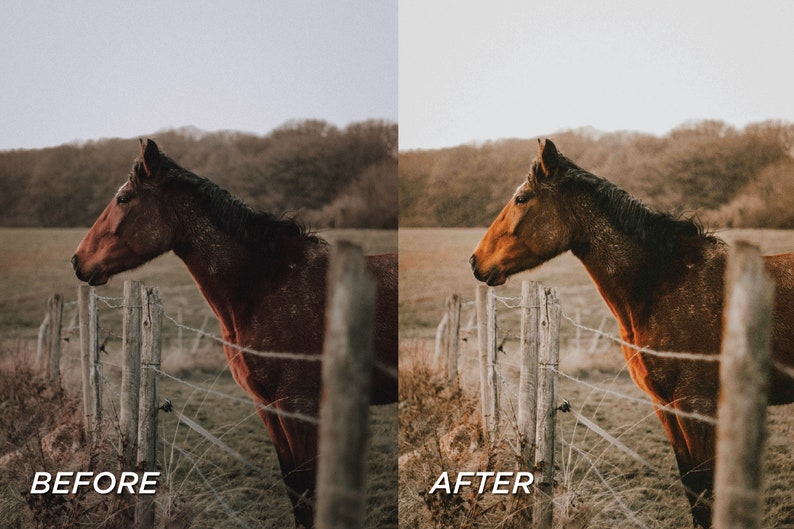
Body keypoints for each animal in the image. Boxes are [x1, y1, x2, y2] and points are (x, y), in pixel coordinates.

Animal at [72, 139, 398, 528]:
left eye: (124, 199)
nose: (77, 260)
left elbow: (309, 492)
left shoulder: (299, 406)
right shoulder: (267, 406)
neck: (266, 283)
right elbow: (296, 491)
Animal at [470, 138, 794, 528]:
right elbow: (694, 491)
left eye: (522, 198)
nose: (475, 261)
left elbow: (707, 493)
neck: (664, 284)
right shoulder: (665, 407)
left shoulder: (697, 407)